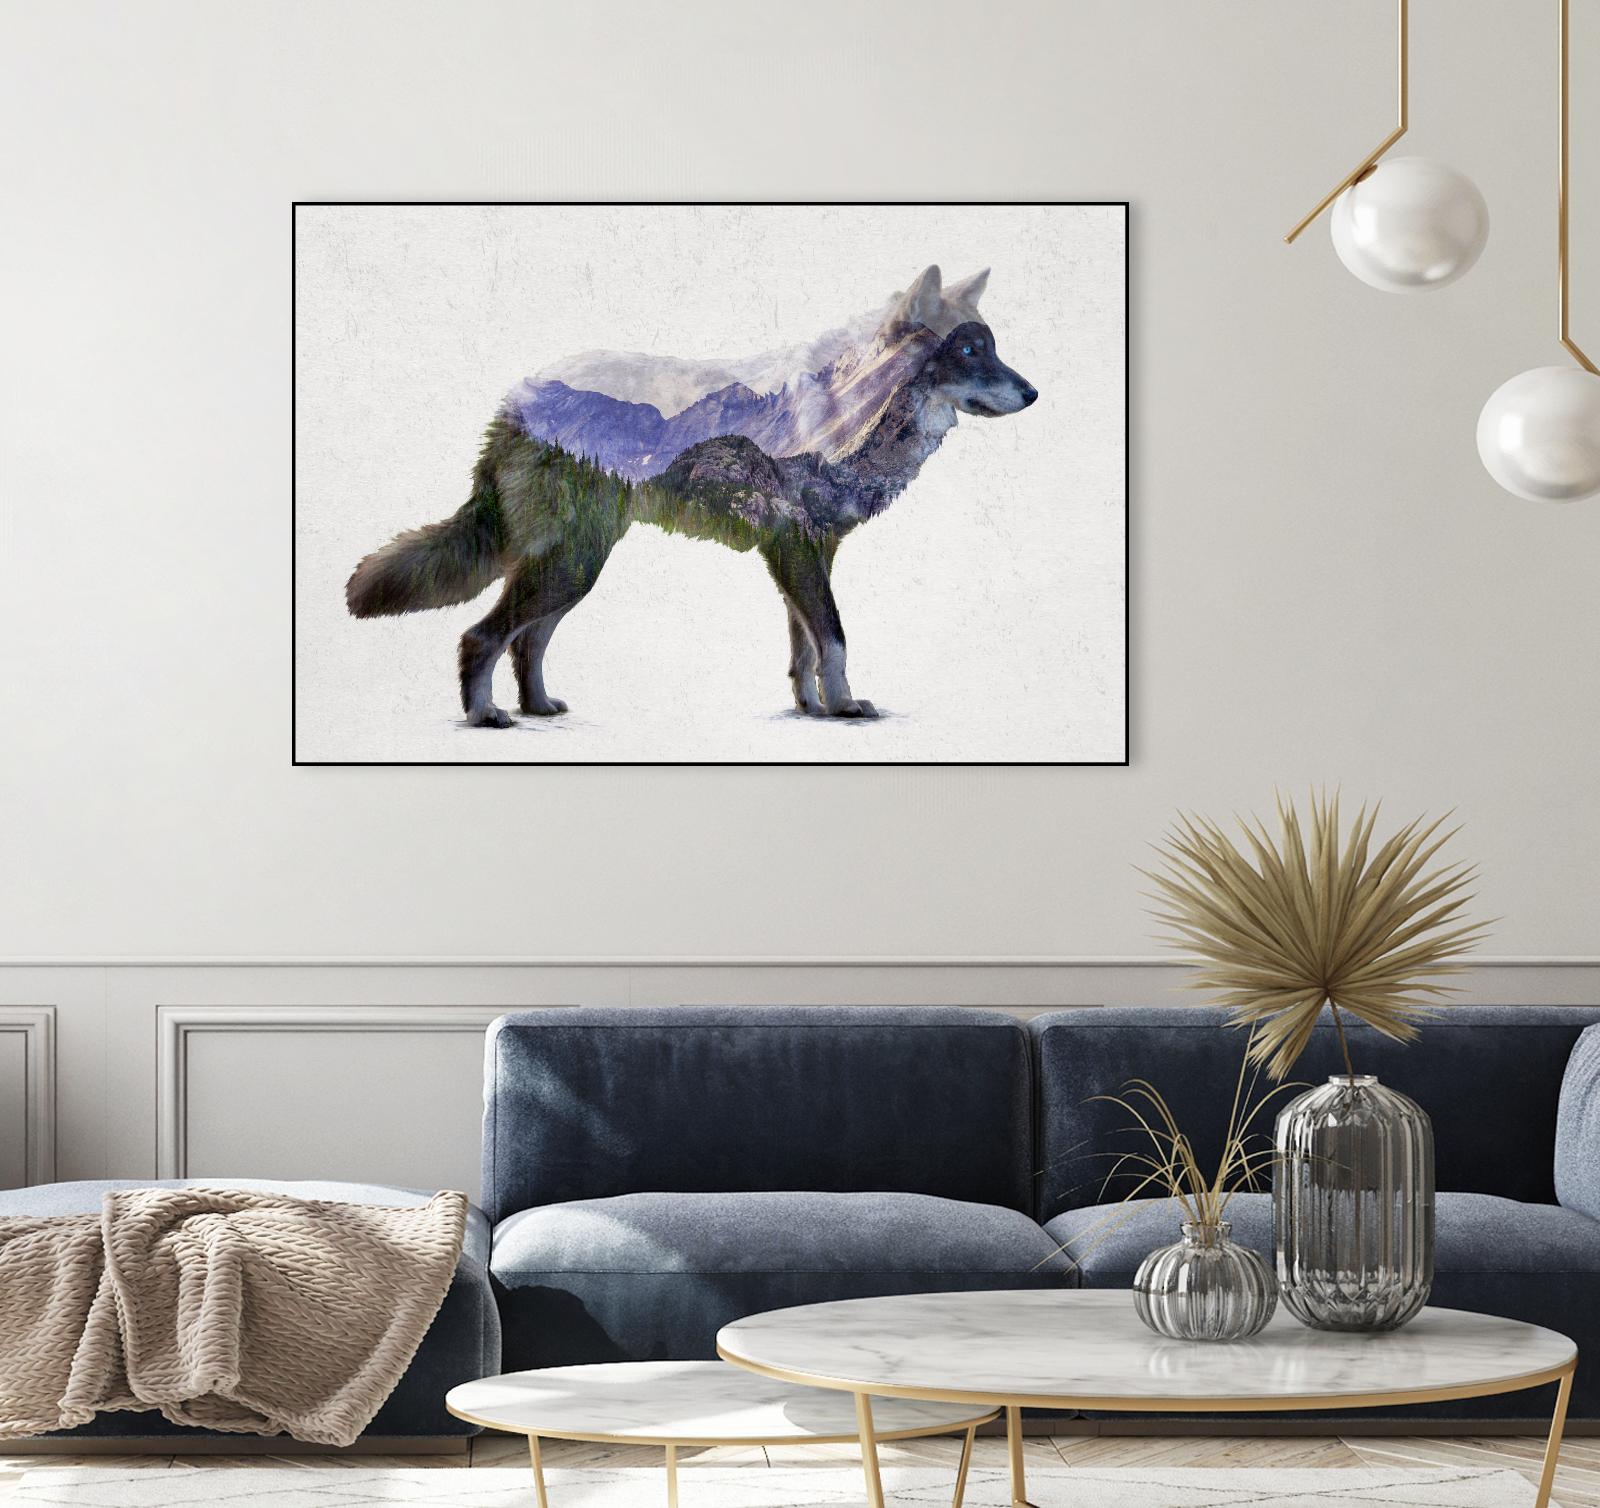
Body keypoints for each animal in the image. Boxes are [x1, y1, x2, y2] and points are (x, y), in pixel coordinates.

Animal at [345, 264, 1037, 725]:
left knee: (527, 642)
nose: (1033, 393)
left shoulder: (803, 558)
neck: (849, 413)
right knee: (482, 637)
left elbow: (806, 650)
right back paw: (487, 717)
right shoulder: (797, 553)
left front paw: (813, 709)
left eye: (992, 346)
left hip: (577, 567)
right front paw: (843, 709)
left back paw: (538, 707)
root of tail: (516, 400)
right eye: (968, 349)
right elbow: (835, 640)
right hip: (571, 566)